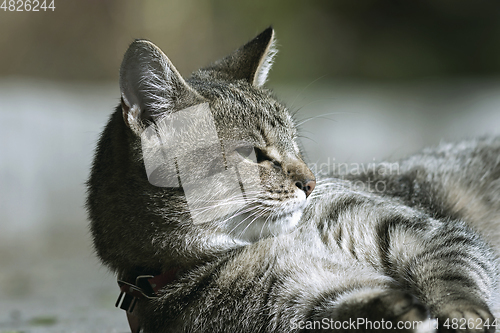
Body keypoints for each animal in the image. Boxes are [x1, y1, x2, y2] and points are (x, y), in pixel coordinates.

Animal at [87, 27, 500, 330]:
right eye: (253, 154)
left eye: (295, 143)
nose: (312, 183)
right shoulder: (295, 305)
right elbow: (343, 312)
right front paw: (390, 310)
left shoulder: (412, 227)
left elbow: (454, 267)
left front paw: (462, 313)